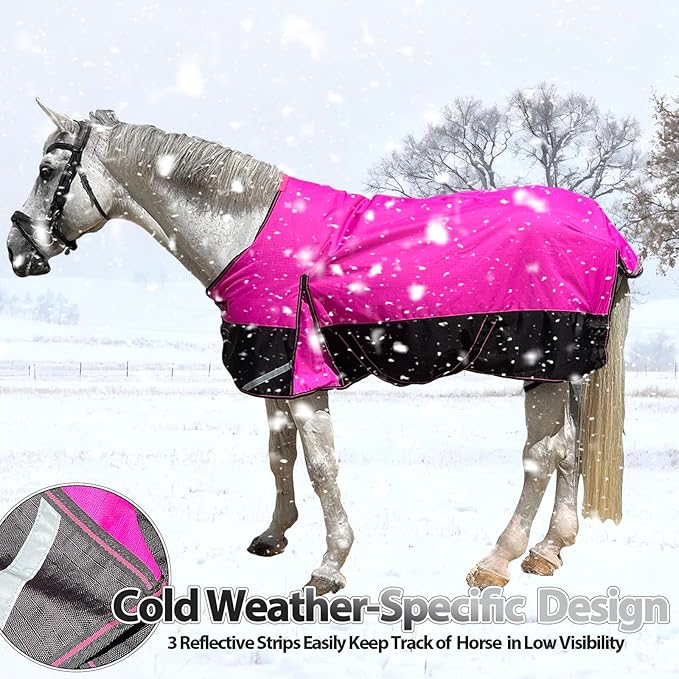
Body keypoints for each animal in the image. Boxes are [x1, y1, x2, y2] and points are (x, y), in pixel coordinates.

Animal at [7, 100, 637, 595]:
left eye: (46, 170)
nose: (18, 251)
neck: (248, 233)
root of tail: (603, 228)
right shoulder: (275, 373)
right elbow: (279, 455)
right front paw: (274, 533)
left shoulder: (307, 379)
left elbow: (320, 466)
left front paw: (330, 566)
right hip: (563, 370)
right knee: (570, 450)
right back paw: (549, 550)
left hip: (539, 363)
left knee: (541, 456)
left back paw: (497, 560)